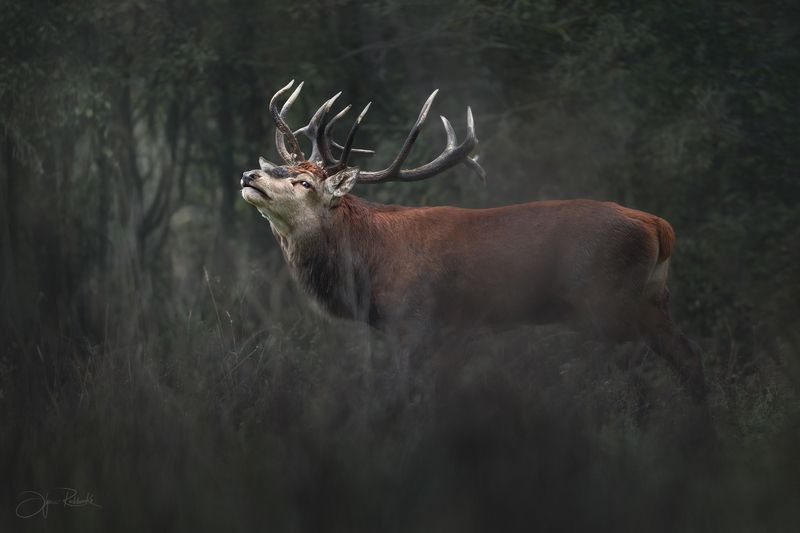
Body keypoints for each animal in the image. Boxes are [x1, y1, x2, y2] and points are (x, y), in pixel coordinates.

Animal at [240, 80, 709, 408]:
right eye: (280, 166)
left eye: (304, 182)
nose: (249, 174)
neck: (368, 266)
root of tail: (658, 226)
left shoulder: (415, 320)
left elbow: (403, 393)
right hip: (651, 299)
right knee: (688, 357)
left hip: (604, 301)